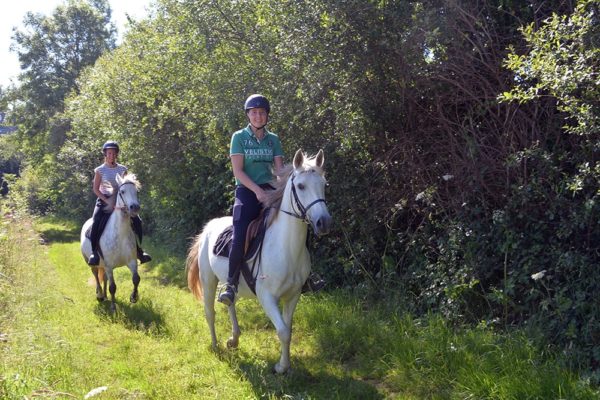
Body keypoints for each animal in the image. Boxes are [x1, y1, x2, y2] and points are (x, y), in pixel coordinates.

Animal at [80, 173, 142, 314]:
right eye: (122, 191)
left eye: (136, 191)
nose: (135, 207)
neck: (120, 234)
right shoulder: (109, 265)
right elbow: (113, 287)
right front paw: (113, 308)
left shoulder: (131, 262)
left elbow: (136, 279)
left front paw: (134, 297)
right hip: (91, 261)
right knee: (96, 275)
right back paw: (100, 295)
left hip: (104, 265)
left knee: (104, 278)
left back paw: (105, 295)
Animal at [186, 148, 332, 374]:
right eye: (301, 186)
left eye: (324, 184)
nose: (323, 223)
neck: (286, 248)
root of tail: (209, 227)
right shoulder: (267, 297)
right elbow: (282, 331)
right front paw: (281, 367)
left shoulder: (293, 295)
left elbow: (288, 330)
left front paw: (284, 365)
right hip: (208, 280)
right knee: (210, 312)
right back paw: (216, 345)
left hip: (229, 282)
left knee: (230, 302)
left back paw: (234, 339)